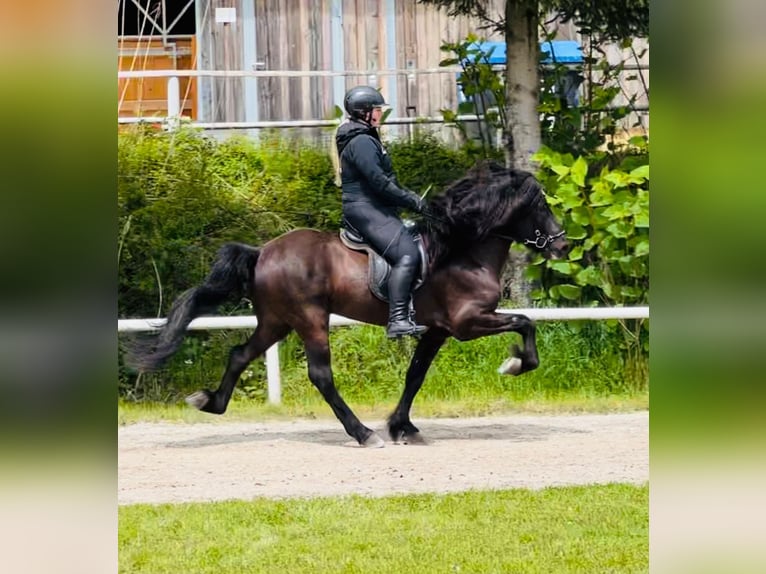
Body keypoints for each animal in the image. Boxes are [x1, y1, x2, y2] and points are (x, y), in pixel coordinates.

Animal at [126, 160, 568, 447]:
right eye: (540, 206)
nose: (563, 246)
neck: (463, 250)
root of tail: (262, 252)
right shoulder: (466, 322)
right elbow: (525, 321)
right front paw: (515, 364)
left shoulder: (438, 330)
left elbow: (415, 375)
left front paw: (402, 427)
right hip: (310, 319)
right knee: (321, 375)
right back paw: (362, 433)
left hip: (276, 321)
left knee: (239, 354)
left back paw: (211, 402)